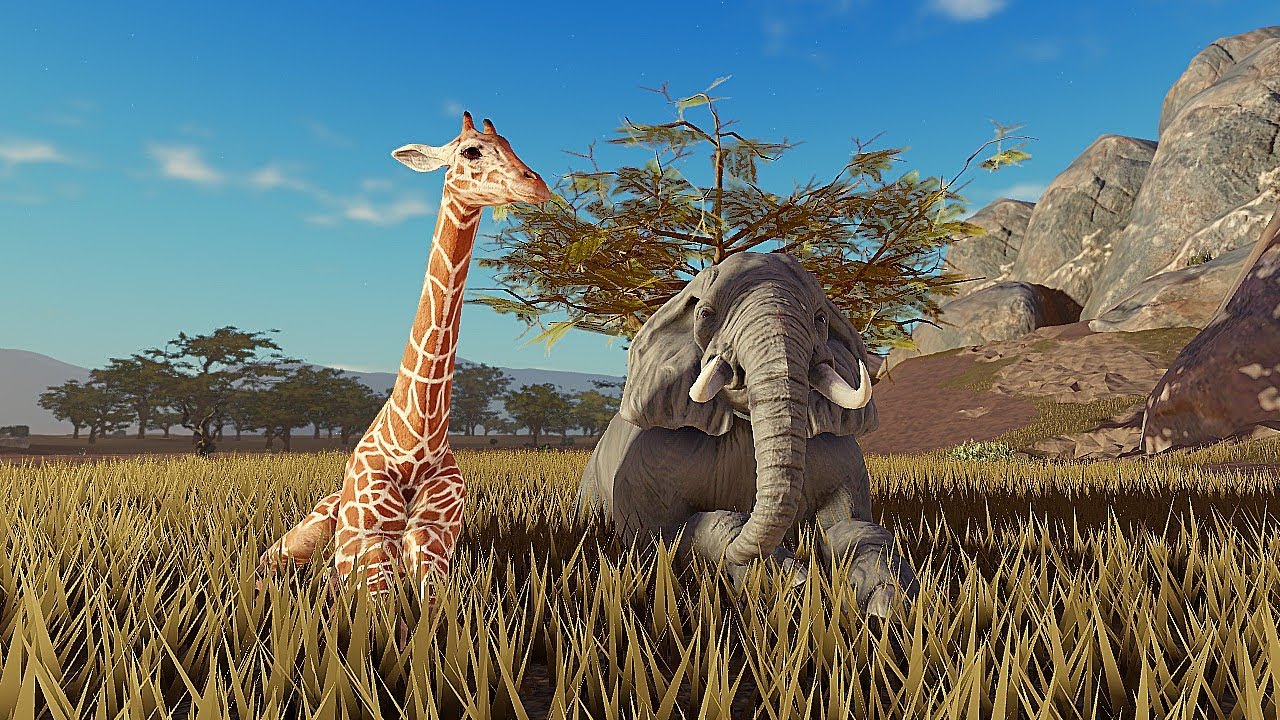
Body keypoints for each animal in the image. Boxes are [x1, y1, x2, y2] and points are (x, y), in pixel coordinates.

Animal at [578, 252, 918, 615]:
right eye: (705, 314)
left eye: (821, 319)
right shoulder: (653, 459)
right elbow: (658, 538)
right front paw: (787, 579)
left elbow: (851, 524)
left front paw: (889, 602)